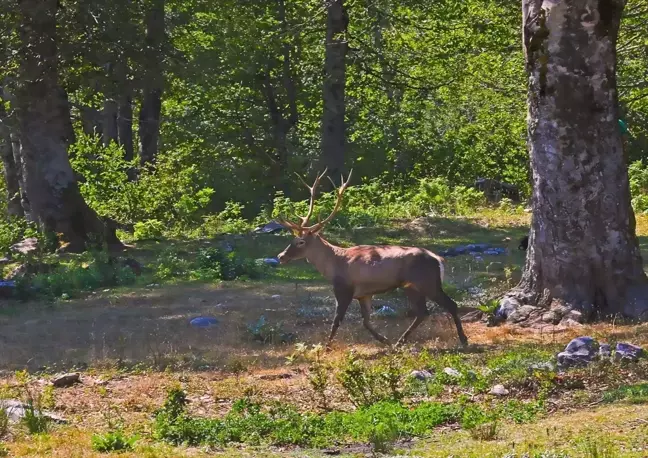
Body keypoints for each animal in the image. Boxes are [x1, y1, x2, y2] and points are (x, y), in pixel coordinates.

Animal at [276, 170, 468, 348]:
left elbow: (337, 320)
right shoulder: (364, 294)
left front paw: (326, 347)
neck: (334, 265)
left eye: (300, 241)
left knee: (450, 304)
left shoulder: (344, 288)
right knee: (422, 312)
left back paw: (463, 340)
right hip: (411, 286)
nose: (280, 256)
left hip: (427, 282)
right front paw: (385, 341)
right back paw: (399, 342)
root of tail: (439, 259)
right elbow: (366, 322)